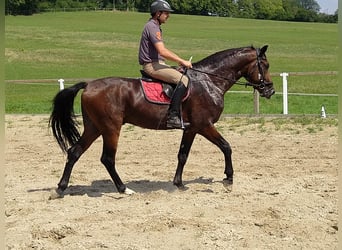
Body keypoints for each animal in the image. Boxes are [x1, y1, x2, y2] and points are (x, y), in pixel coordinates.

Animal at [50, 46, 276, 196]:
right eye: (265, 65)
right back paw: (124, 189)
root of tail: (88, 85)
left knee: (75, 152)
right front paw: (228, 178)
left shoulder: (191, 128)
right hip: (111, 128)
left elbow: (183, 155)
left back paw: (61, 188)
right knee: (107, 158)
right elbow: (226, 146)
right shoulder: (204, 125)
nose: (271, 90)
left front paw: (179, 183)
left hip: (94, 127)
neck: (209, 80)